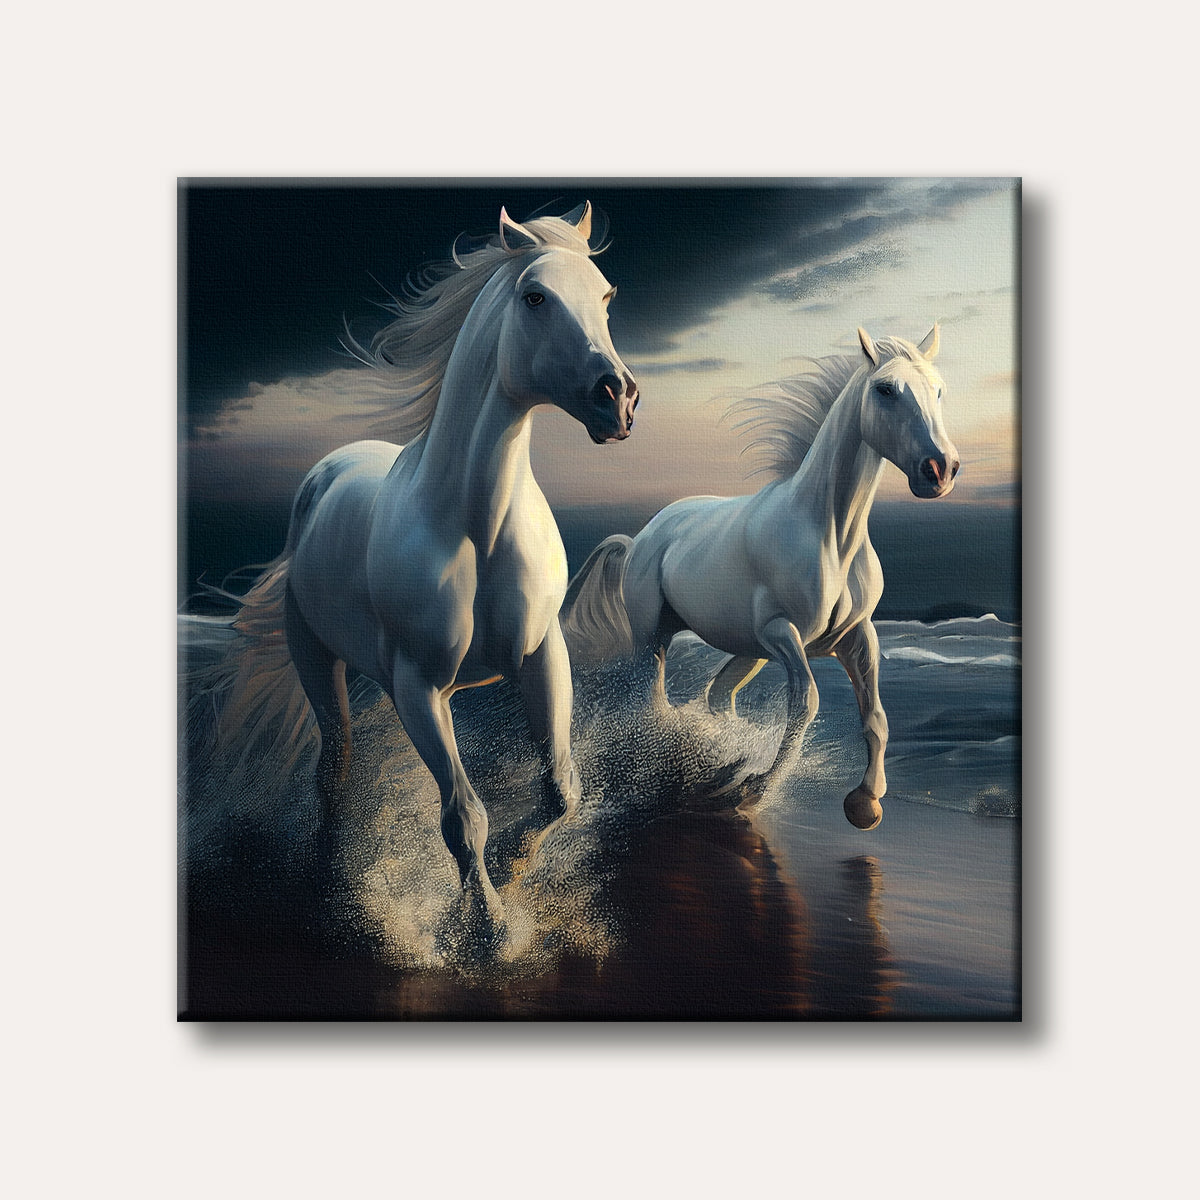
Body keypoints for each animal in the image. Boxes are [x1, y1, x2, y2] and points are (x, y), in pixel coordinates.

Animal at [208, 202, 639, 944]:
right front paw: (486, 932)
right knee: (334, 767)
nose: (618, 398)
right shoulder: (418, 686)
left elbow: (561, 790)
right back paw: (327, 876)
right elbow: (463, 816)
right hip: (319, 663)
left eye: (606, 296)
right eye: (535, 297)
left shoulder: (541, 656)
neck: (476, 529)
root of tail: (325, 473)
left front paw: (513, 869)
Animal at [560, 326, 957, 831]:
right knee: (652, 703)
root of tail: (640, 539)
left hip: (748, 652)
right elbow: (806, 704)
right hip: (653, 638)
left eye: (939, 390)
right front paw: (753, 789)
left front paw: (865, 803)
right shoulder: (781, 632)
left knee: (716, 696)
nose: (940, 470)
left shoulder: (857, 636)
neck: (830, 535)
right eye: (885, 390)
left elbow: (876, 716)